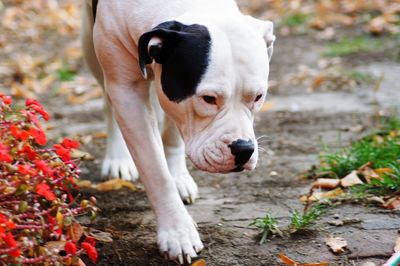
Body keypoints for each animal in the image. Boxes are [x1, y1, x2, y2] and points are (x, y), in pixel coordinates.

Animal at [81, 0, 276, 262]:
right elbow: (155, 171)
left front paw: (178, 177)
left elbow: (174, 135)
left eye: (258, 96)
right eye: (208, 98)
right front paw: (178, 232)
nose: (243, 149)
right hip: (90, 46)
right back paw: (117, 158)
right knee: (107, 99)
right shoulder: (126, 91)